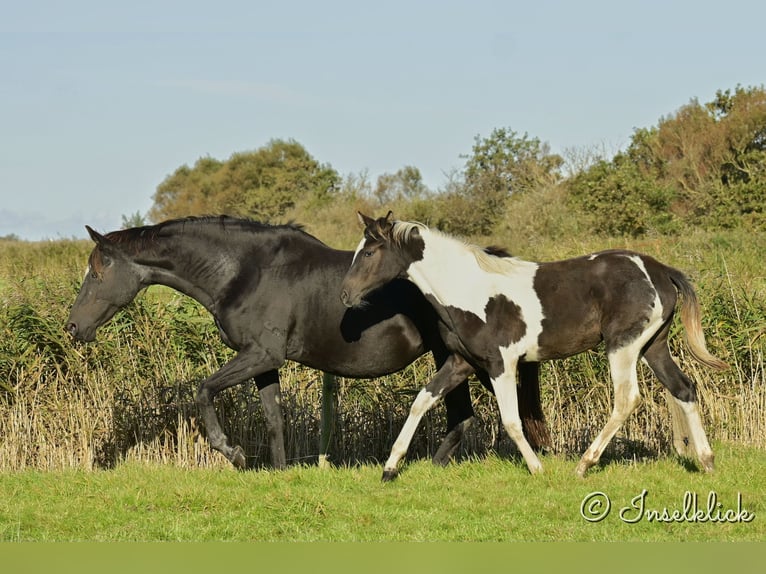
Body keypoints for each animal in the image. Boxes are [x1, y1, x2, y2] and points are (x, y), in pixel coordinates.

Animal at [64, 218, 544, 470]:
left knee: (470, 415)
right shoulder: (265, 362)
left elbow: (203, 390)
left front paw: (232, 452)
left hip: (468, 359)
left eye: (98, 272)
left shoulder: (260, 354)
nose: (72, 327)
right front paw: (278, 471)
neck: (243, 271)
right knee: (460, 417)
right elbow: (274, 418)